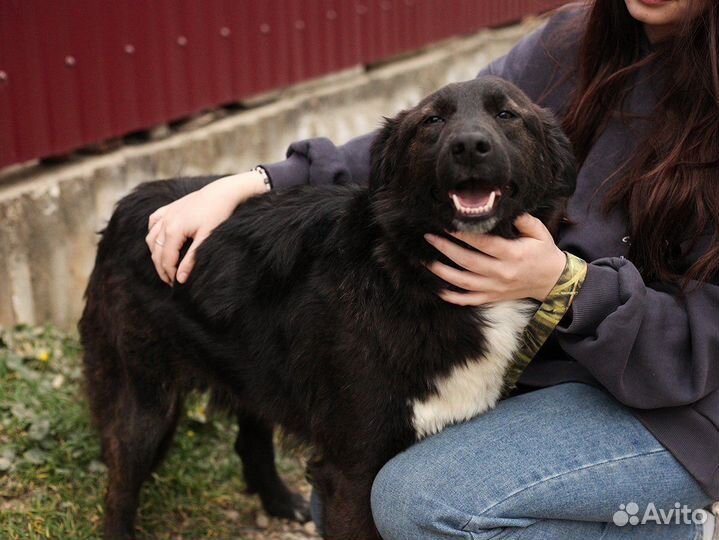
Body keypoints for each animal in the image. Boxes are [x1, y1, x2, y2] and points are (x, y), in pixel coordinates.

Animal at [80, 74, 572, 536]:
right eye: (433, 121)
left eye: (507, 115)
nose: (469, 145)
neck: (411, 271)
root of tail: (125, 204)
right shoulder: (351, 470)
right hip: (143, 400)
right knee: (119, 488)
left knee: (251, 437)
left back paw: (280, 500)